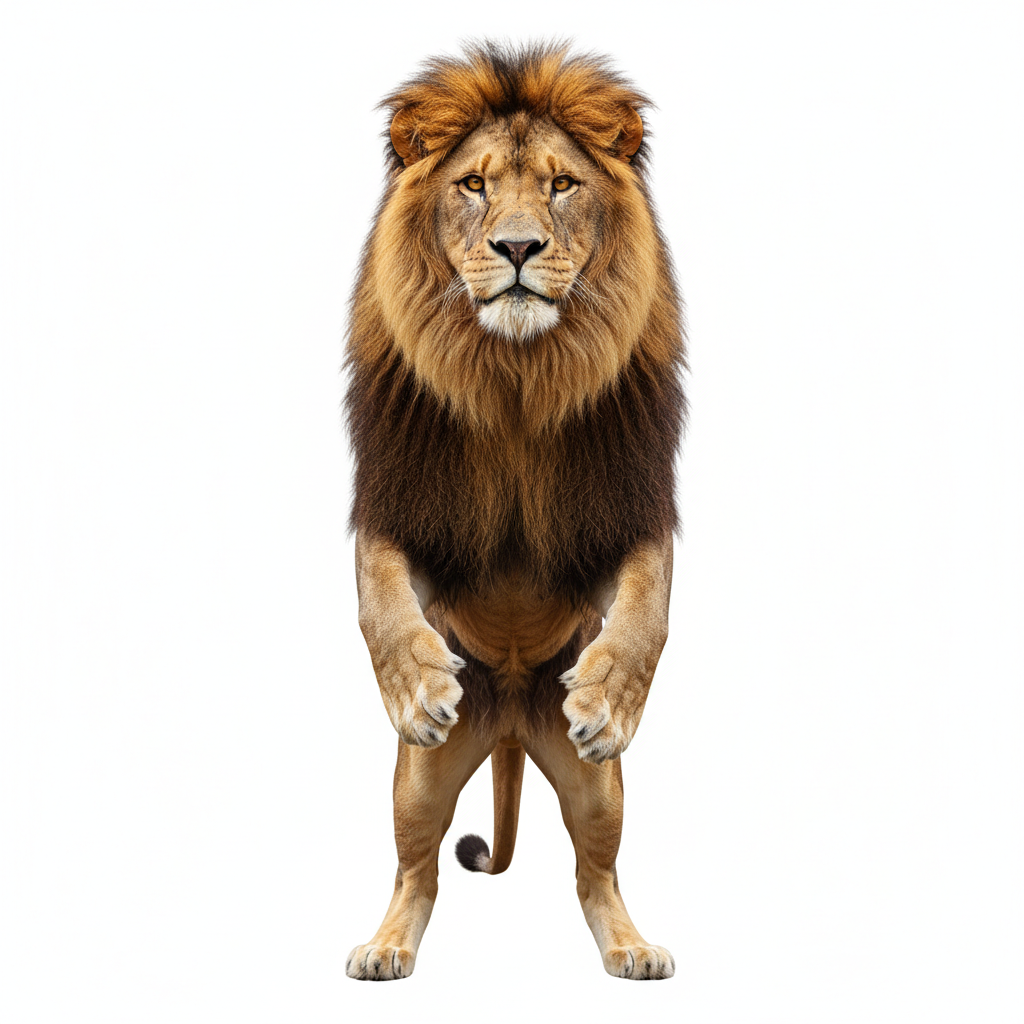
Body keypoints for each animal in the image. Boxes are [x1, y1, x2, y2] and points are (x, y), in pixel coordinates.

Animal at [344, 42, 686, 981]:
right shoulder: (403, 505)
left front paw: (607, 699)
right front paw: (419, 685)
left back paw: (631, 947)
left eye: (563, 185)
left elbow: (647, 608)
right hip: (419, 786)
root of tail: (506, 727)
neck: (515, 383)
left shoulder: (623, 511)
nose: (521, 246)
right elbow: (380, 598)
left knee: (594, 875)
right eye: (474, 185)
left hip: (597, 793)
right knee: (417, 870)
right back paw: (386, 945)